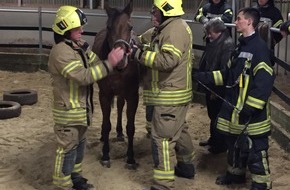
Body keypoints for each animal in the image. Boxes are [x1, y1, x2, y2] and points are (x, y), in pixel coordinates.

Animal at [91, 0, 140, 169]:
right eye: (109, 27)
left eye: (130, 27)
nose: (119, 60)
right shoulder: (105, 94)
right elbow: (106, 125)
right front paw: (105, 155)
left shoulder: (133, 96)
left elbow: (131, 127)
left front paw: (131, 158)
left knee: (119, 107)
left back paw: (119, 132)